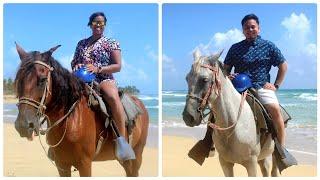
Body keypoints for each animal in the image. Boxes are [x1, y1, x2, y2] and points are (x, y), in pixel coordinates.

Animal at [14, 43, 150, 176]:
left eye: (42, 80)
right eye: (18, 80)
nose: (23, 125)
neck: (70, 120)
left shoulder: (85, 164)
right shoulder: (62, 164)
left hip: (137, 154)